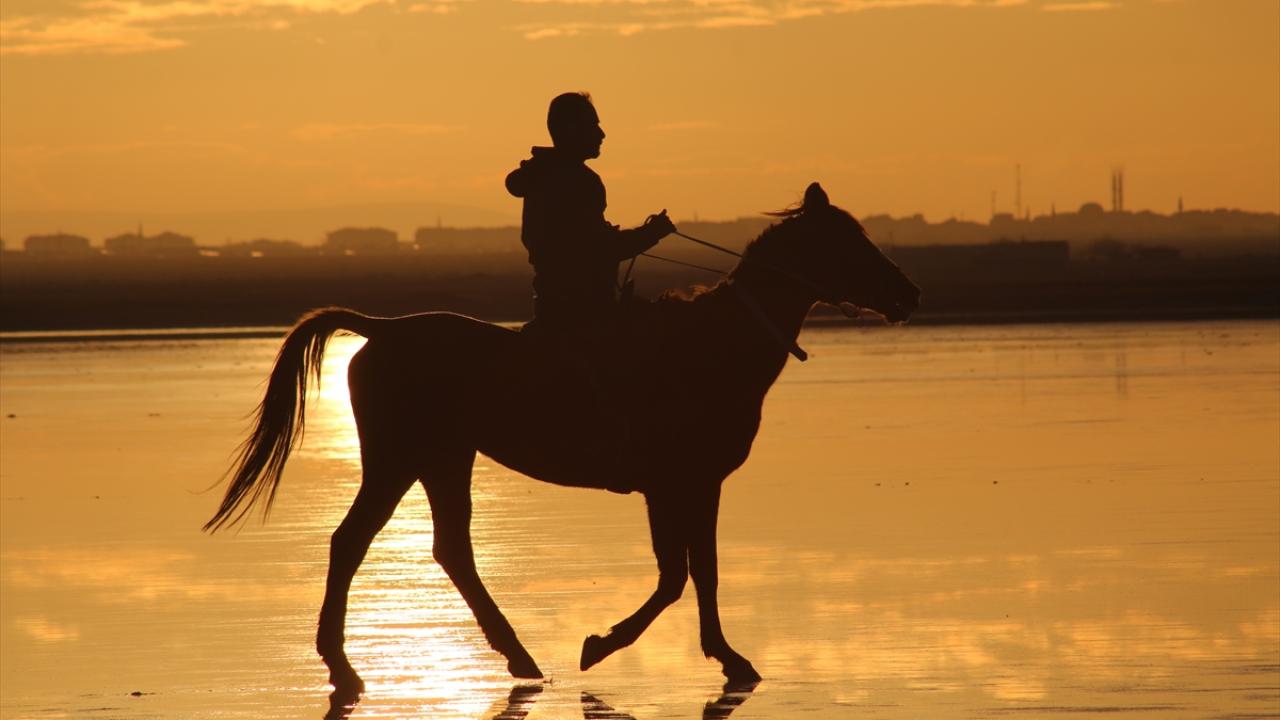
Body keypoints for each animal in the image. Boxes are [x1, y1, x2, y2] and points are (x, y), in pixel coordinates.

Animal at [205, 182, 920, 699]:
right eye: (851, 242)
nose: (909, 294)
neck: (714, 344)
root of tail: (383, 327)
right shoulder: (675, 484)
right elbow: (680, 576)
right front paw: (607, 646)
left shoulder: (694, 485)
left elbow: (699, 573)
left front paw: (723, 657)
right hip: (399, 458)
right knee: (352, 542)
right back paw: (345, 668)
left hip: (444, 457)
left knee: (449, 549)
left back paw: (516, 657)